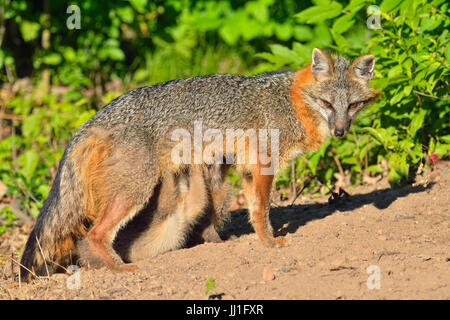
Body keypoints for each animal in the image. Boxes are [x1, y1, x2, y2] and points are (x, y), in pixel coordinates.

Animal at [19, 48, 378, 280]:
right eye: (327, 103)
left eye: (353, 106)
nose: (340, 131)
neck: (290, 103)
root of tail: (94, 118)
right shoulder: (263, 165)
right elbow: (262, 211)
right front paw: (270, 242)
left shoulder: (246, 169)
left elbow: (253, 211)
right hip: (136, 190)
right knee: (95, 234)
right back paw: (120, 268)